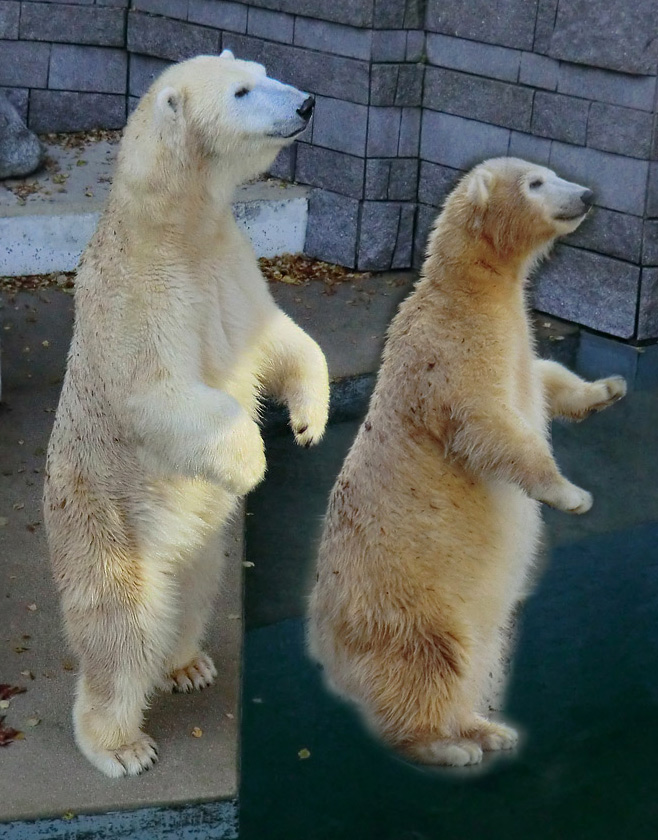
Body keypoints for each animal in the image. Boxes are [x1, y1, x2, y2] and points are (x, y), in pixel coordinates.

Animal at [43, 52, 328, 776]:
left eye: (264, 71)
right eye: (243, 91)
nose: (307, 102)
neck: (175, 225)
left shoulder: (228, 266)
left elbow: (275, 338)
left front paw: (308, 421)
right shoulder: (142, 296)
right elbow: (159, 394)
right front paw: (253, 460)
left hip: (201, 545)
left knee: (192, 594)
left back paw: (186, 665)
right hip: (107, 529)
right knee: (123, 628)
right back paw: (119, 745)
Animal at [308, 158, 624, 768]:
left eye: (553, 172)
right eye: (536, 182)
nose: (588, 194)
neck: (470, 294)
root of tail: (324, 642)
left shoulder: (518, 345)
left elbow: (546, 379)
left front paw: (608, 388)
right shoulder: (448, 351)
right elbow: (488, 422)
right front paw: (571, 494)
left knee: (480, 658)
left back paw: (488, 730)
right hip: (407, 602)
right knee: (428, 660)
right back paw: (446, 746)